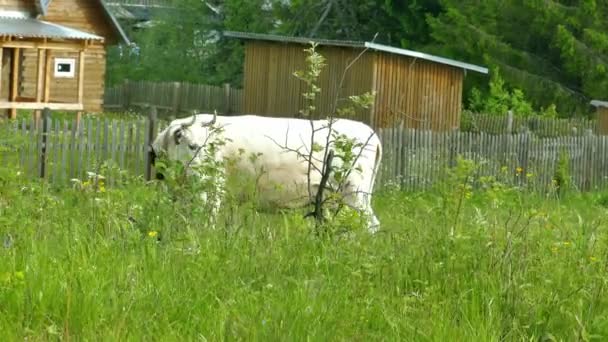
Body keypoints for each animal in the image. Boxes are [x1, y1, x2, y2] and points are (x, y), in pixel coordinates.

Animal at [150, 112, 382, 232]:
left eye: (207, 146)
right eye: (192, 146)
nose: (205, 172)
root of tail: (369, 132)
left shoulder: (211, 190)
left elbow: (205, 217)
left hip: (355, 192)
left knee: (370, 224)